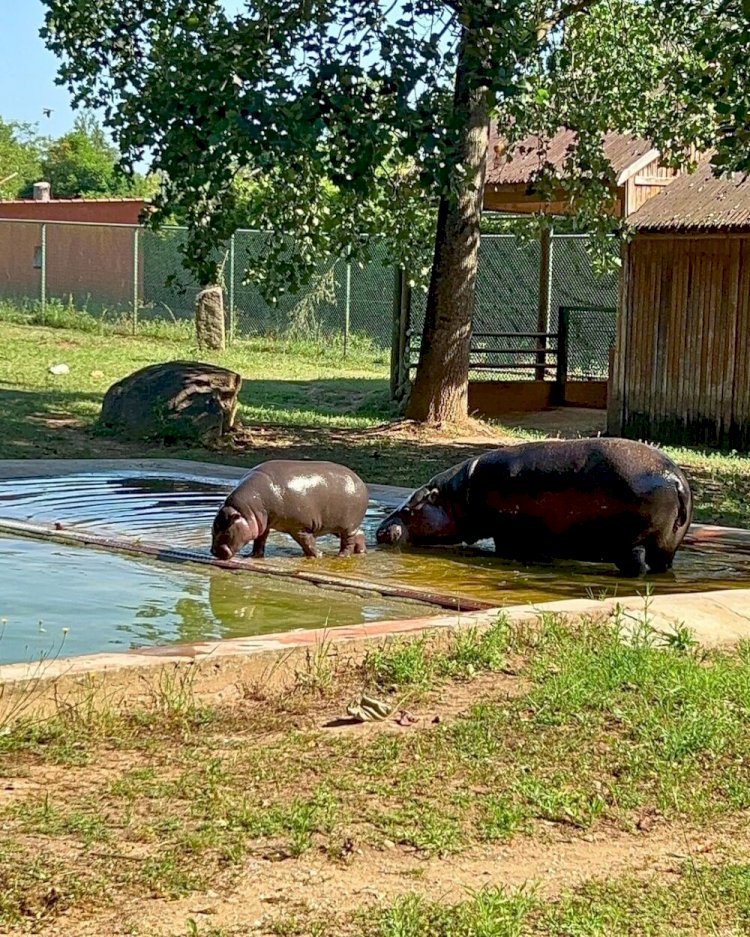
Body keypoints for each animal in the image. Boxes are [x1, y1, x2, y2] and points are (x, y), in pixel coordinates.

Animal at [210, 458, 368, 560]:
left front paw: (317, 556)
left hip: (347, 526)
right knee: (360, 534)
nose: (213, 552)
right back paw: (361, 552)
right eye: (213, 529)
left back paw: (341, 556)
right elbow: (260, 540)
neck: (246, 512)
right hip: (338, 526)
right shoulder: (263, 524)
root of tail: (360, 480)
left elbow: (307, 543)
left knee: (348, 541)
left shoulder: (299, 528)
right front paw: (253, 555)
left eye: (227, 531)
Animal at [376, 438, 692, 576]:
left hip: (632, 542)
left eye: (407, 510)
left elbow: (508, 547)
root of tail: (676, 480)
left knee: (635, 565)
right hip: (666, 547)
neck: (454, 498)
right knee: (661, 565)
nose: (379, 530)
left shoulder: (507, 530)